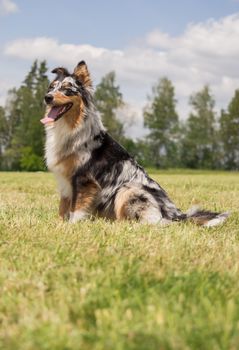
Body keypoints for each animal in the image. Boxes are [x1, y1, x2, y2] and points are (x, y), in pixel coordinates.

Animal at [40, 61, 229, 227]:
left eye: (67, 90)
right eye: (51, 87)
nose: (47, 97)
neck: (72, 127)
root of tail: (174, 214)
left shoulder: (83, 180)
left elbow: (76, 209)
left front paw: (71, 225)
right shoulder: (66, 182)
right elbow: (63, 207)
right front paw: (58, 224)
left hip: (128, 190)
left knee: (148, 223)